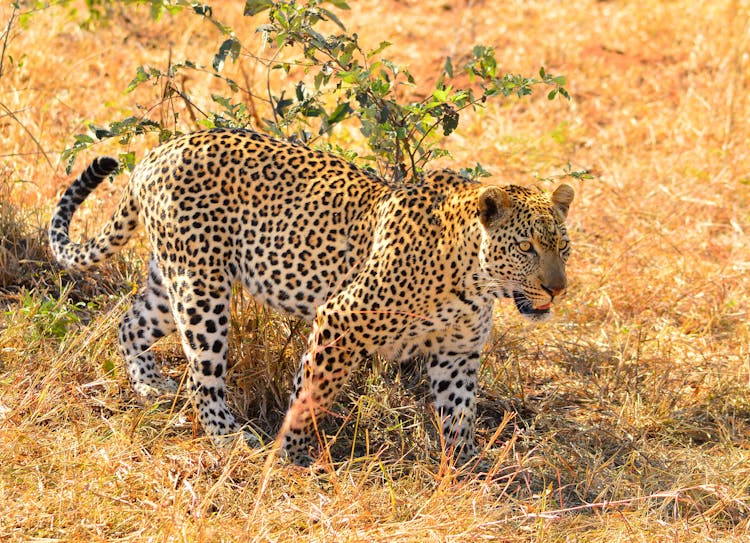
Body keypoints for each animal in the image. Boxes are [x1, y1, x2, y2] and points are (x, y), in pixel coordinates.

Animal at [48, 129, 576, 468]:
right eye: (527, 248)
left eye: (563, 247)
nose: (558, 288)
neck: (474, 280)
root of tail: (157, 153)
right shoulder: (342, 319)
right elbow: (312, 393)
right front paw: (294, 454)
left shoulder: (458, 351)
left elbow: (459, 411)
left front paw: (468, 465)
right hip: (201, 288)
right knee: (203, 375)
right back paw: (228, 436)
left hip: (172, 276)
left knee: (130, 324)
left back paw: (149, 385)